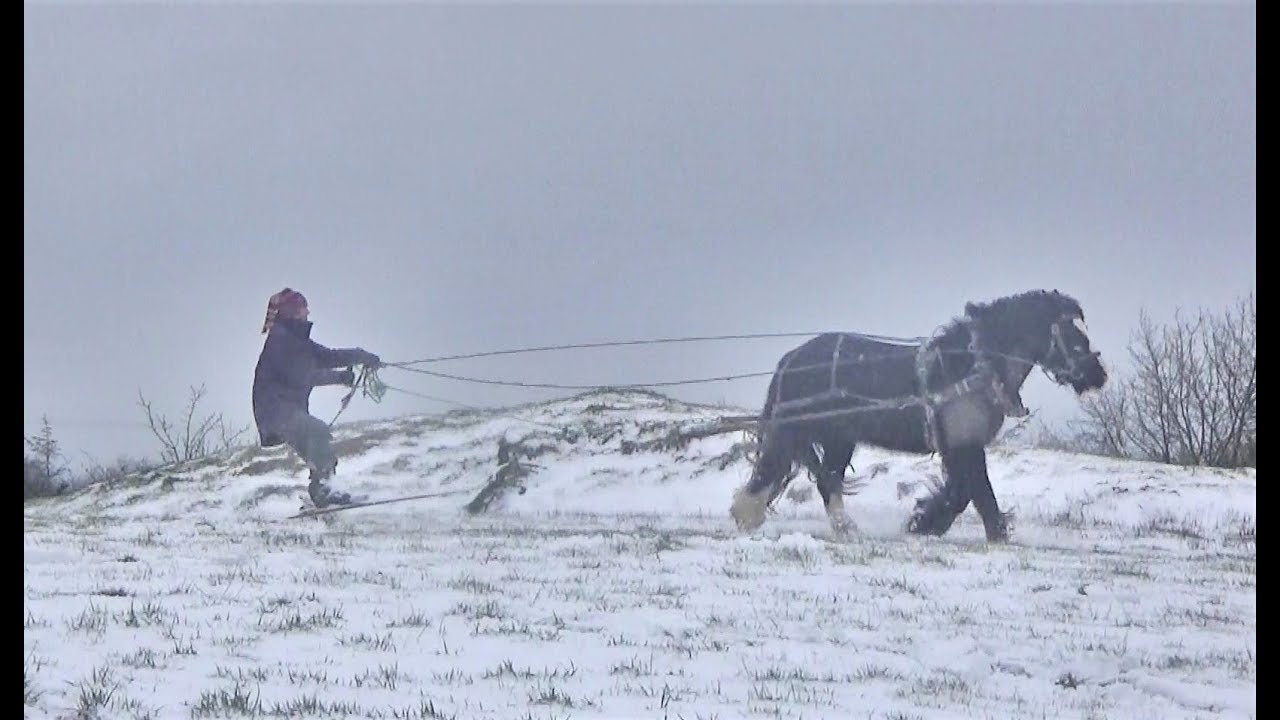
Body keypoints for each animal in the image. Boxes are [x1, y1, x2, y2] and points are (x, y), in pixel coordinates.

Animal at [729, 289, 1108, 542]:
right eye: (1072, 333)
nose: (1098, 376)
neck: (969, 366)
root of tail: (792, 358)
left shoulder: (961, 445)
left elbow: (963, 492)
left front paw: (926, 522)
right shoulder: (964, 444)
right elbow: (977, 491)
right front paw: (990, 533)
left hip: (839, 437)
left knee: (827, 480)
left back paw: (846, 529)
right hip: (797, 429)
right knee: (773, 469)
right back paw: (747, 515)